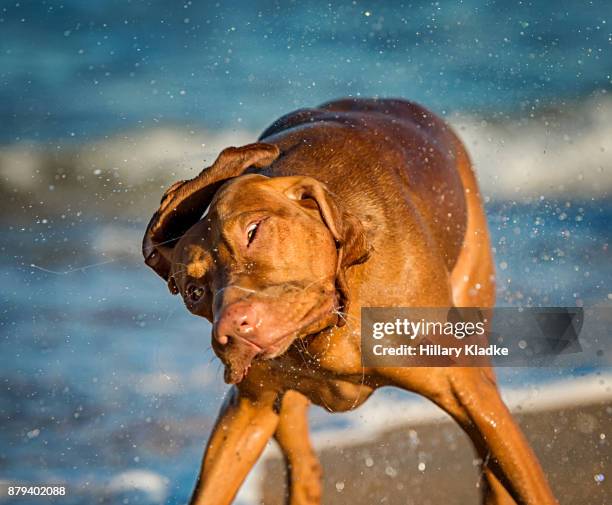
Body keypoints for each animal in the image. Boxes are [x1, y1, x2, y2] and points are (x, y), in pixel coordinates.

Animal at [141, 99, 556, 504]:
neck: (331, 323)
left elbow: (529, 484)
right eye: (195, 292)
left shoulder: (465, 388)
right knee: (305, 466)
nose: (231, 332)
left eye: (254, 230)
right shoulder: (248, 408)